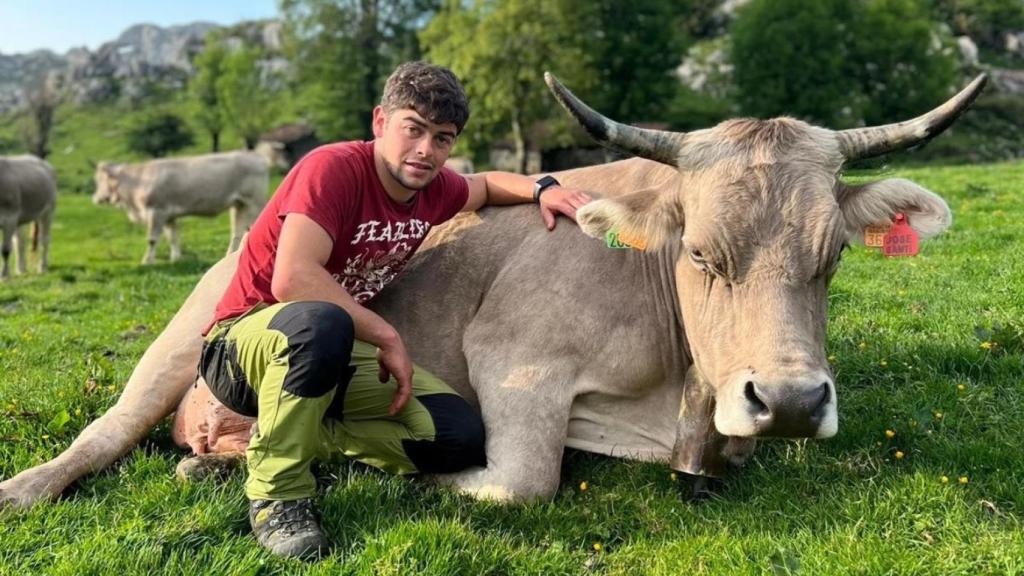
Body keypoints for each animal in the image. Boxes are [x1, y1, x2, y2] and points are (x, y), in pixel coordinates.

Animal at [93, 150, 268, 262]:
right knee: (237, 231)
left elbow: (152, 239)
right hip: (239, 204)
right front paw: (176, 258)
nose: (95, 198)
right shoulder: (169, 216)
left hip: (255, 202)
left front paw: (147, 261)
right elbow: (173, 237)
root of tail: (255, 156)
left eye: (101, 180)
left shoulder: (156, 211)